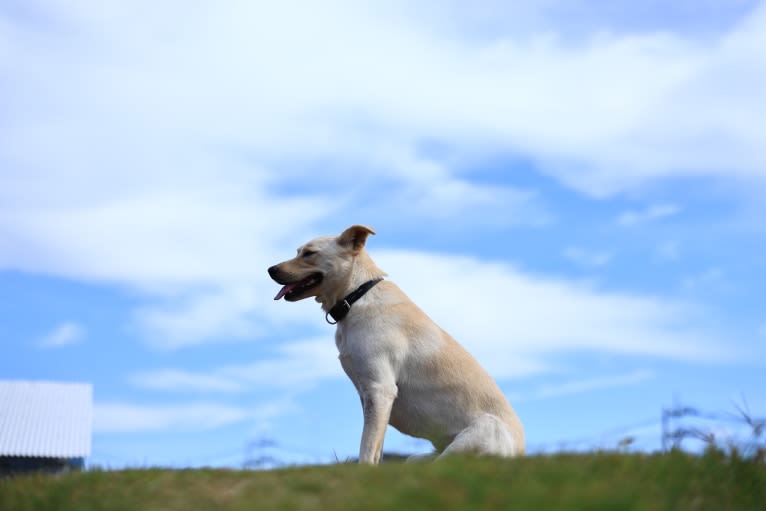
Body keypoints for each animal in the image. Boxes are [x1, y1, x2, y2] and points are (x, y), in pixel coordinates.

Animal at [268, 226, 524, 466]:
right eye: (298, 252)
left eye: (309, 253)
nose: (271, 269)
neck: (356, 295)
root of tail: (522, 454)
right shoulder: (371, 396)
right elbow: (376, 446)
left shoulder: (380, 389)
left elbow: (367, 447)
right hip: (418, 458)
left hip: (481, 431)